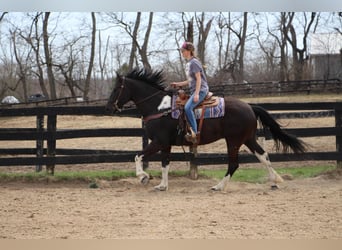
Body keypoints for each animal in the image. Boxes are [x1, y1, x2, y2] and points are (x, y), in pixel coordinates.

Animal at [105, 67, 306, 190]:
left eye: (115, 89)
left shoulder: (159, 141)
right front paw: (162, 185)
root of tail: (249, 106)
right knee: (263, 155)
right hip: (248, 138)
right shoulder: (166, 144)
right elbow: (165, 164)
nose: (108, 108)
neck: (159, 108)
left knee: (234, 164)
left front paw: (143, 177)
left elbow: (138, 156)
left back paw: (219, 186)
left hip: (233, 141)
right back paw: (274, 182)